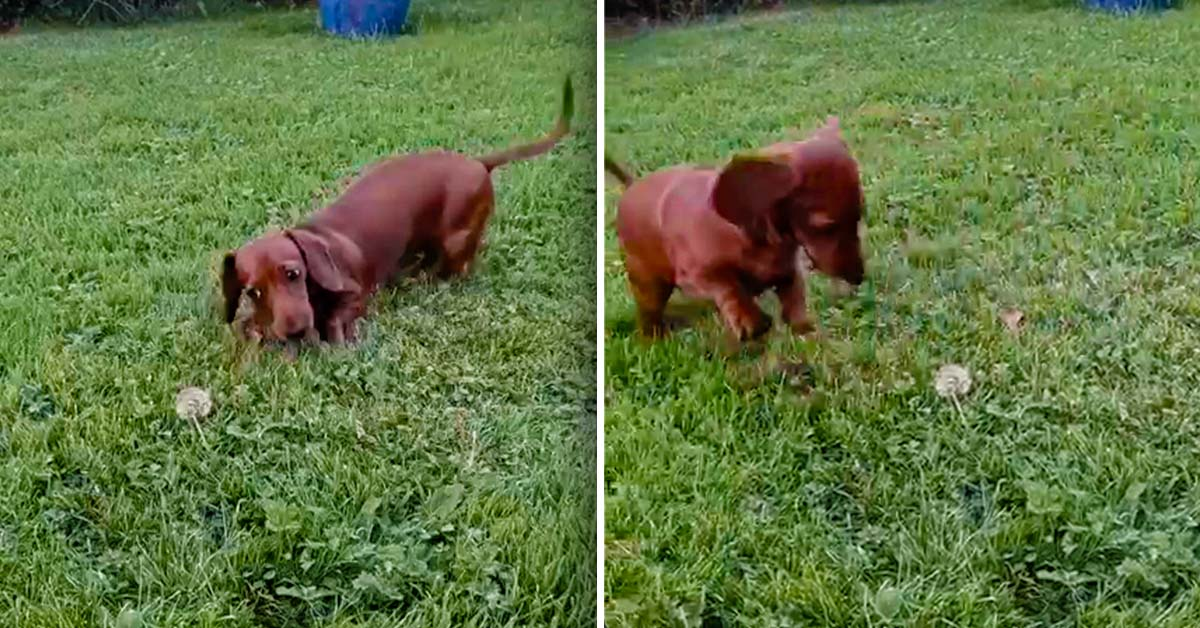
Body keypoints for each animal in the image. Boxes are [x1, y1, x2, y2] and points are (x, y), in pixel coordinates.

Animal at [223, 77, 573, 348]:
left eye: (294, 273)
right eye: (253, 291)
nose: (295, 332)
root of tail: (478, 162)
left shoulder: (356, 294)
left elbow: (337, 318)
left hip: (456, 240)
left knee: (460, 267)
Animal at [609, 116, 864, 338]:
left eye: (859, 216)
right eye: (825, 226)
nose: (859, 277)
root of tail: (631, 185)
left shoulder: (787, 271)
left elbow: (794, 296)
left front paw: (805, 327)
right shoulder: (696, 275)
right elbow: (729, 286)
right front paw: (751, 320)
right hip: (648, 285)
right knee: (649, 318)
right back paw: (653, 340)